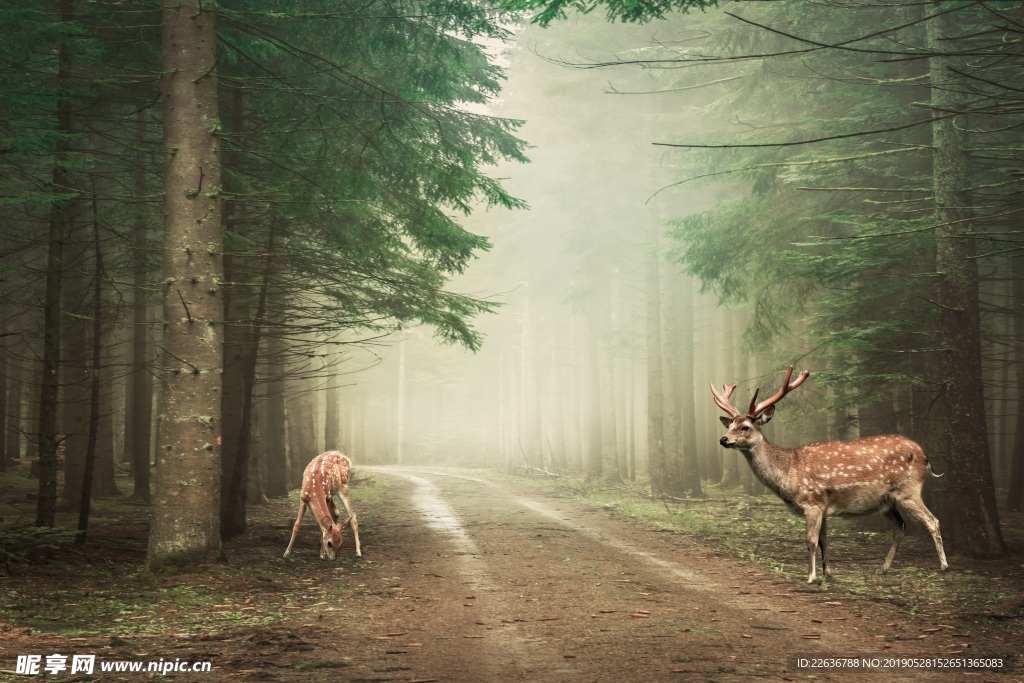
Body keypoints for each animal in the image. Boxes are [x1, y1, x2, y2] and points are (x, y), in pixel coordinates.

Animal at [712, 366, 942, 585]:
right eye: (730, 424)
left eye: (745, 427)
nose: (723, 439)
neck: (789, 472)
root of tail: (926, 457)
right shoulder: (823, 506)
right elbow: (824, 540)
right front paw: (828, 574)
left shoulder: (812, 502)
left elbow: (811, 541)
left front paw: (811, 576)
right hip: (886, 501)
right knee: (900, 527)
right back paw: (882, 569)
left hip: (908, 490)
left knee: (932, 520)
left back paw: (943, 567)